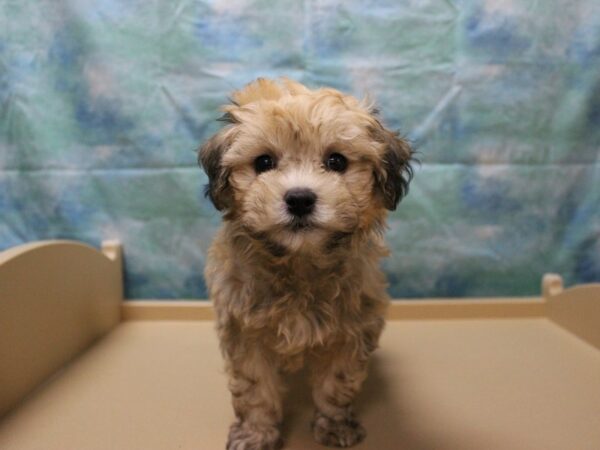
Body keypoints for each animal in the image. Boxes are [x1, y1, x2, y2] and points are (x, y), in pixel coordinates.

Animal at [199, 79, 414, 448]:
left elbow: (336, 382)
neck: (298, 263)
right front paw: (256, 433)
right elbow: (255, 388)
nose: (299, 199)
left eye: (337, 161)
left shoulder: (351, 330)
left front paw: (334, 424)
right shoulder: (245, 331)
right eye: (264, 162)